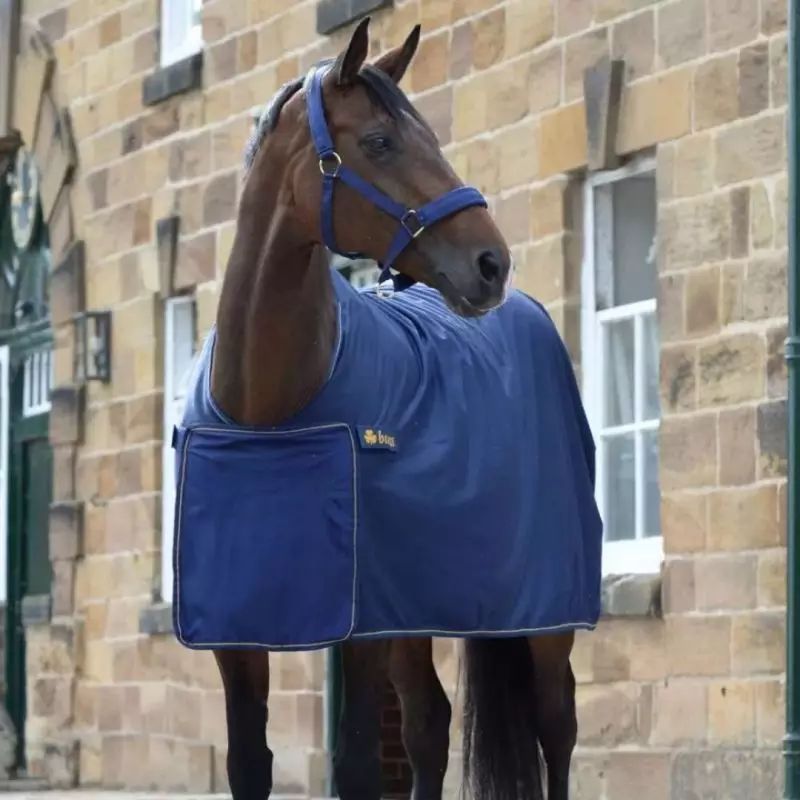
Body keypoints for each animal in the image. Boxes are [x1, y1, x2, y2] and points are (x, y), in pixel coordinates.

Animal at [175, 17, 600, 800]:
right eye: (379, 142)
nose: (491, 263)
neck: (268, 406)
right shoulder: (238, 633)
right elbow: (250, 765)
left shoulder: (360, 628)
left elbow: (357, 766)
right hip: (418, 609)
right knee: (432, 722)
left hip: (546, 611)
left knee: (557, 723)